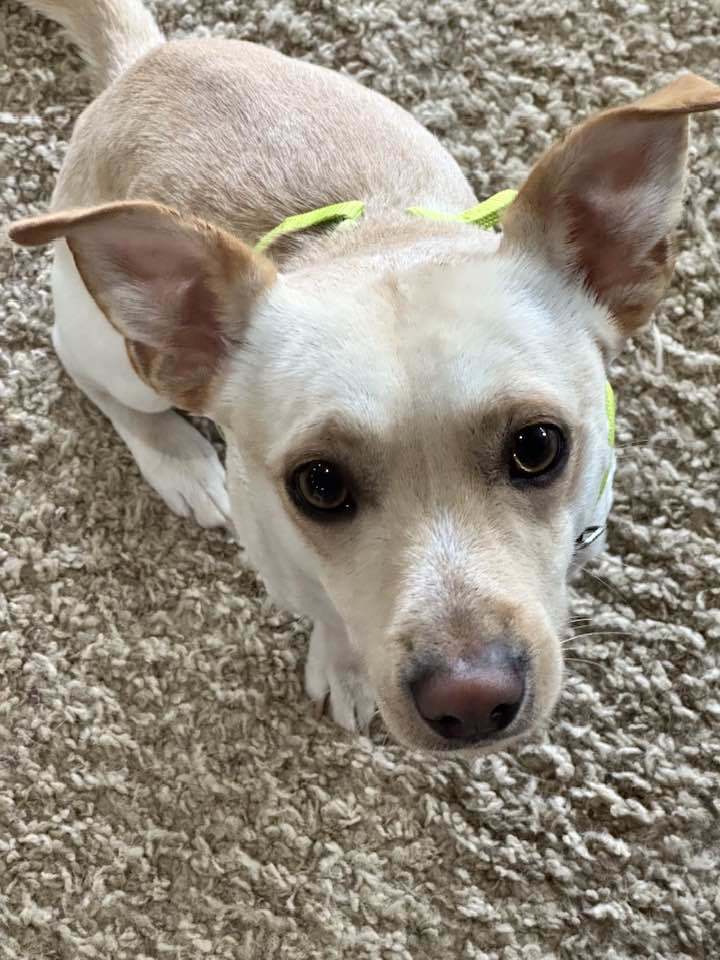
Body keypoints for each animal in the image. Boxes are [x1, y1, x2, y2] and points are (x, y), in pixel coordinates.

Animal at [9, 0, 720, 752]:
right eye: (319, 486)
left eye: (538, 446)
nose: (471, 701)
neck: (374, 236)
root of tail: (142, 62)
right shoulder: (292, 570)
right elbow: (334, 616)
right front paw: (343, 665)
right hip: (113, 354)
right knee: (94, 375)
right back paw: (178, 458)